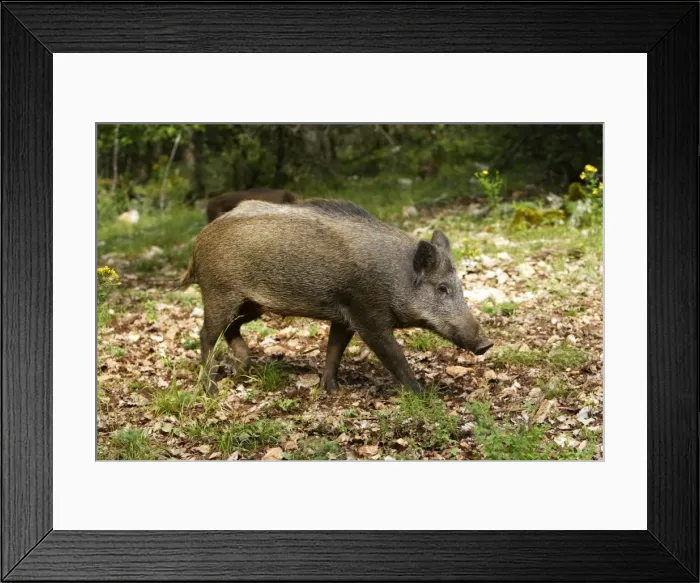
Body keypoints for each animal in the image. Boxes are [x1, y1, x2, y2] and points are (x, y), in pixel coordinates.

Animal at [181, 199, 493, 393]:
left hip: (251, 305)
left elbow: (335, 349)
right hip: (220, 293)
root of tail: (198, 243)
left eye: (460, 285)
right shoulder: (367, 314)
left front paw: (331, 390)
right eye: (441, 288)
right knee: (206, 334)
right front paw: (422, 394)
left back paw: (243, 369)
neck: (396, 277)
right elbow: (394, 356)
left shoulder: (344, 315)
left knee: (230, 329)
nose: (486, 344)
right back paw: (211, 389)